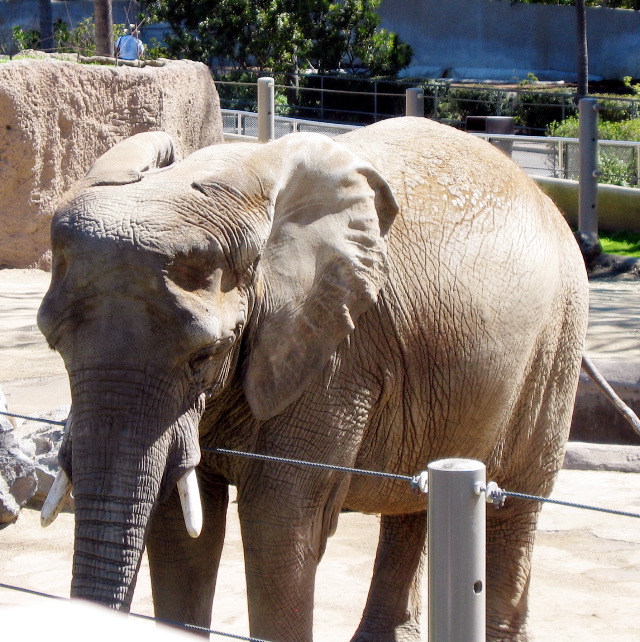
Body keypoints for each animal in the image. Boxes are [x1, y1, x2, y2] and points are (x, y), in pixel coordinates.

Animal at [37, 116, 588, 640]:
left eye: (204, 356)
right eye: (53, 344)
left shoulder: (335, 355)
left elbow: (277, 523)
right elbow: (181, 523)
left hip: (557, 342)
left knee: (514, 505)